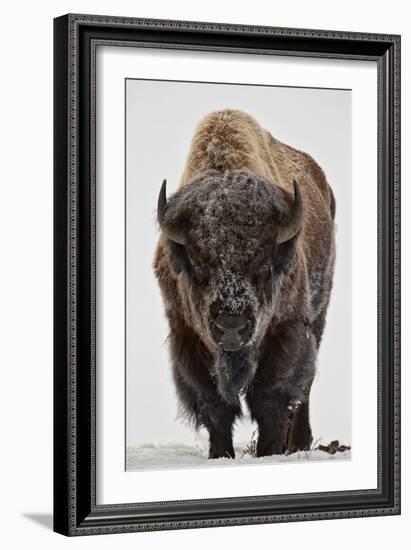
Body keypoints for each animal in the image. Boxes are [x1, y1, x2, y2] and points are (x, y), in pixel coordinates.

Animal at [153, 110, 336, 460]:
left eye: (264, 264)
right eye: (197, 262)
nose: (231, 326)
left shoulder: (287, 329)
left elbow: (272, 397)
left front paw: (269, 451)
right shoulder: (186, 335)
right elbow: (214, 404)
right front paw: (220, 454)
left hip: (318, 316)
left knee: (304, 387)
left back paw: (299, 443)